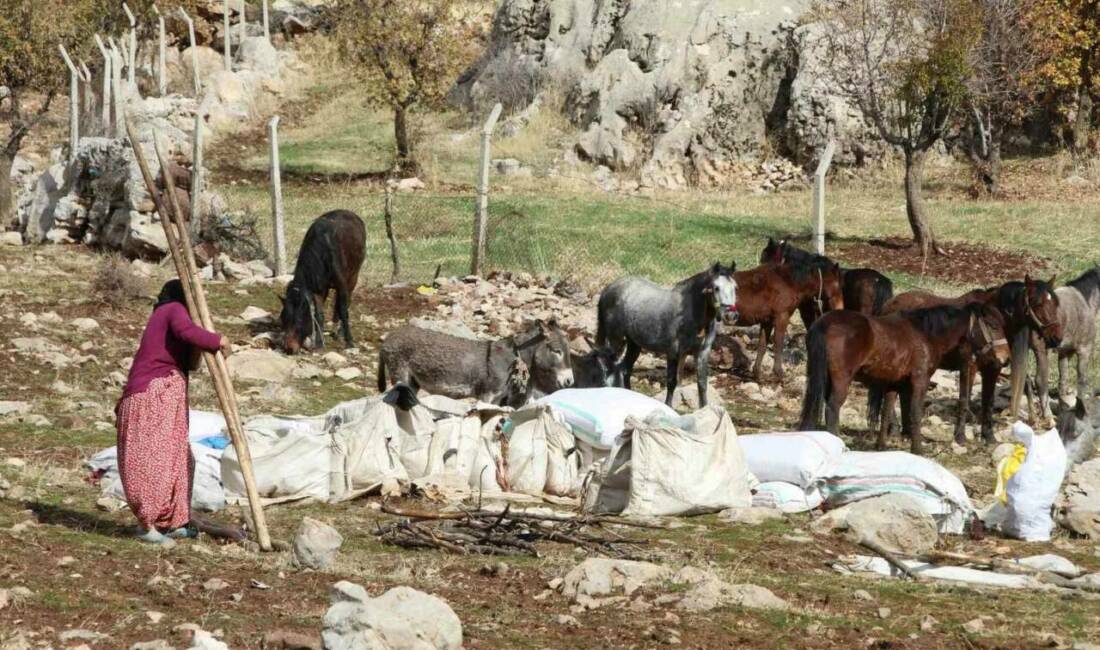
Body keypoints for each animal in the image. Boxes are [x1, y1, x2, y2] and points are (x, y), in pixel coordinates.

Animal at [281, 212, 367, 356]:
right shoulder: (317, 290)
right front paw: (319, 343)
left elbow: (344, 310)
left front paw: (349, 342)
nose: (288, 348)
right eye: (283, 319)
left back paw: (340, 332)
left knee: (345, 303)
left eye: (299, 321)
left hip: (353, 276)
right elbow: (319, 314)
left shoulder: (342, 285)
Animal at [598, 262, 743, 406]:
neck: (690, 314)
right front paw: (668, 406)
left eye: (735, 287)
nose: (731, 316)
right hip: (616, 341)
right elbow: (672, 381)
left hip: (634, 344)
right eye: (716, 287)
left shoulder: (703, 352)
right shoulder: (673, 352)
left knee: (625, 370)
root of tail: (608, 289)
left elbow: (702, 384)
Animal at [796, 303, 1007, 453]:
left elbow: (886, 413)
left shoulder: (893, 384)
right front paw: (918, 449)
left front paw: (881, 445)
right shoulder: (920, 381)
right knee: (833, 407)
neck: (925, 334)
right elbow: (915, 413)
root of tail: (824, 323)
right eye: (993, 325)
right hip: (841, 380)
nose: (1004, 358)